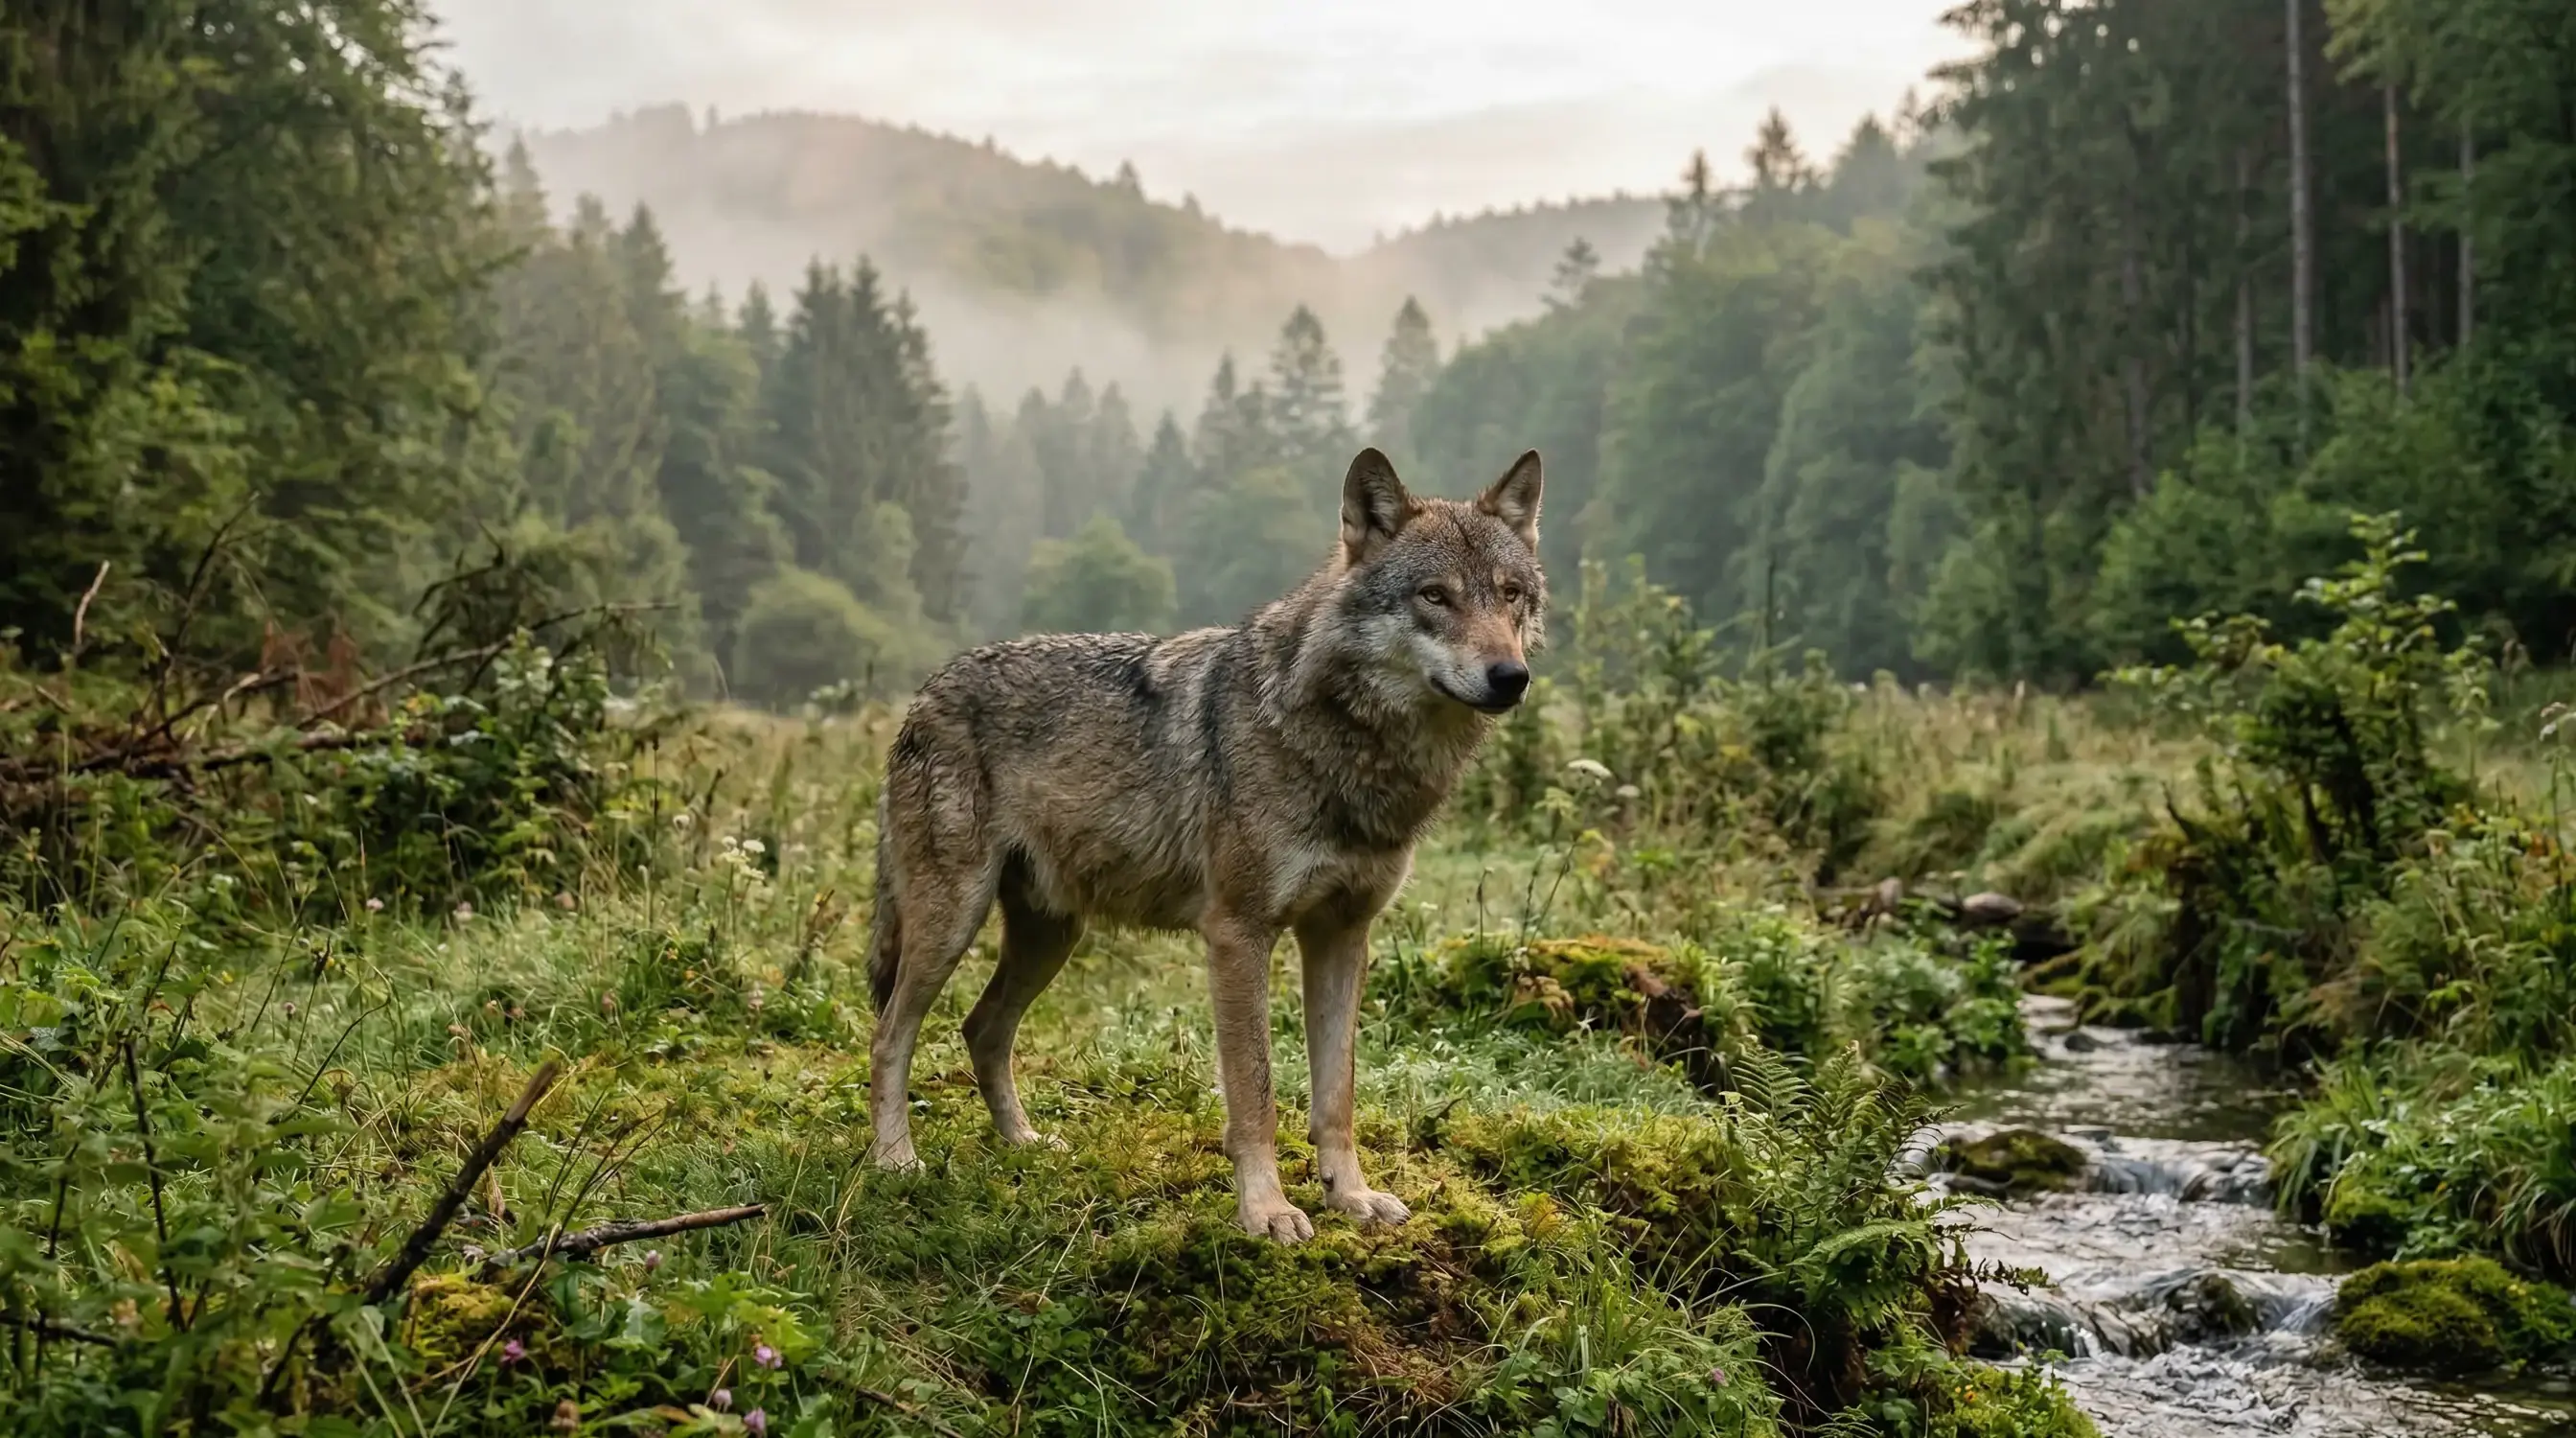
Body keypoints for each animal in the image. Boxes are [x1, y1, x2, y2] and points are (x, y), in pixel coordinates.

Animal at [865, 447, 1545, 1241]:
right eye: (1435, 596)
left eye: (1510, 595)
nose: (1511, 677)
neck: (1345, 746)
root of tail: (924, 693)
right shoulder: (1237, 934)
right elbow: (1255, 1093)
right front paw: (1268, 1210)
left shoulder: (1343, 935)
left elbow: (1336, 1096)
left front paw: (1350, 1197)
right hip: (952, 924)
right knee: (889, 1034)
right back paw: (895, 1160)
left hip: (1051, 936)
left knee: (983, 1029)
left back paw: (1024, 1144)